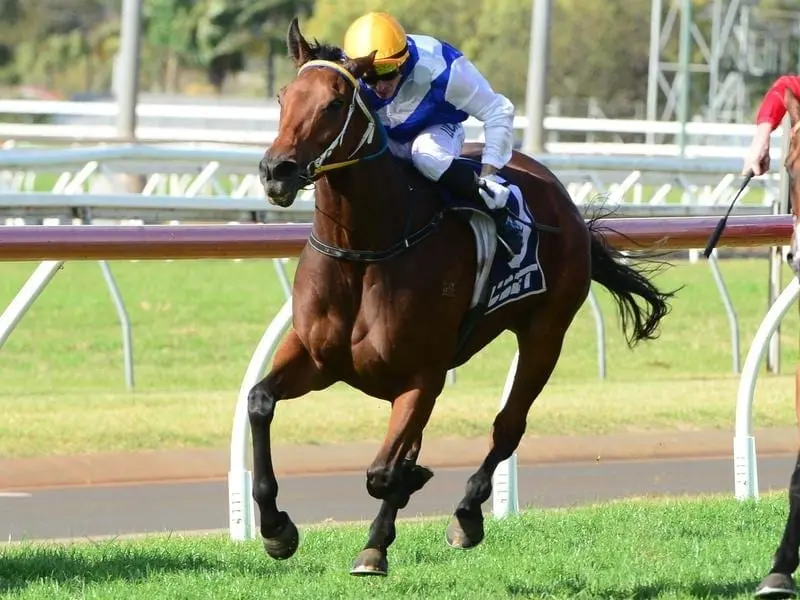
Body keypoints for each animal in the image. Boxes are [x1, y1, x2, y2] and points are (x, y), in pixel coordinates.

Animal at [250, 16, 676, 576]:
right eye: (283, 96)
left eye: (336, 103)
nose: (276, 170)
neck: (366, 250)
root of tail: (562, 197)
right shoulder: (317, 357)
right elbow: (260, 403)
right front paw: (276, 528)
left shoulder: (422, 375)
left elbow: (383, 471)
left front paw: (409, 492)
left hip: (545, 333)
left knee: (507, 427)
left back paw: (465, 515)